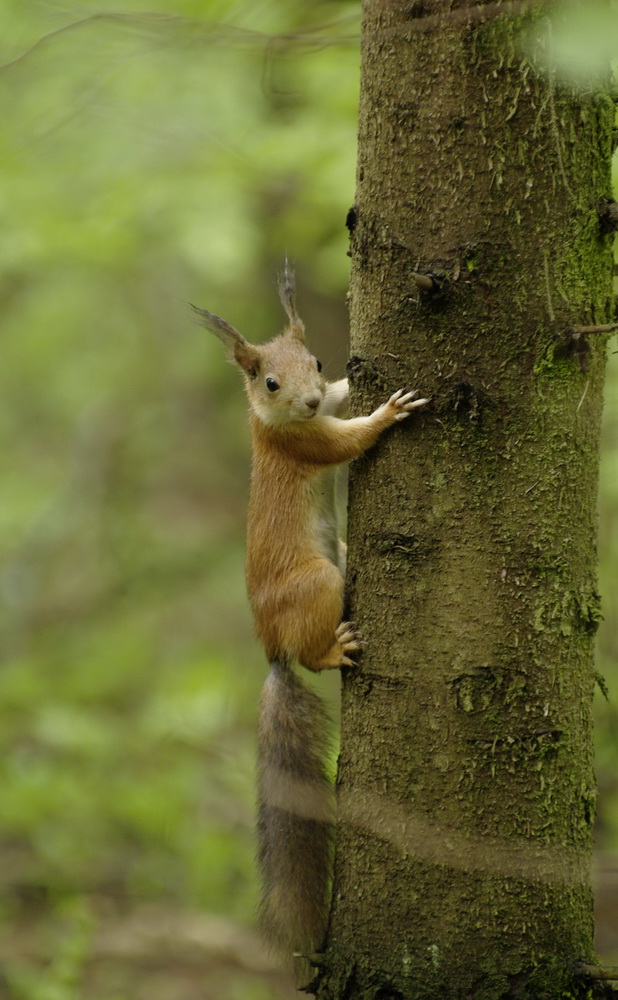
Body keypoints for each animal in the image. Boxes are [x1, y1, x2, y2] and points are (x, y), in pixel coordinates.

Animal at [195, 266, 426, 968]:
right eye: (268, 382)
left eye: (317, 363)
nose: (308, 396)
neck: (273, 422)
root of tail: (269, 647)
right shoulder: (303, 441)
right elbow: (350, 439)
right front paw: (388, 411)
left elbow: (342, 403)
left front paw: (353, 386)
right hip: (319, 585)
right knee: (310, 654)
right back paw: (333, 649)